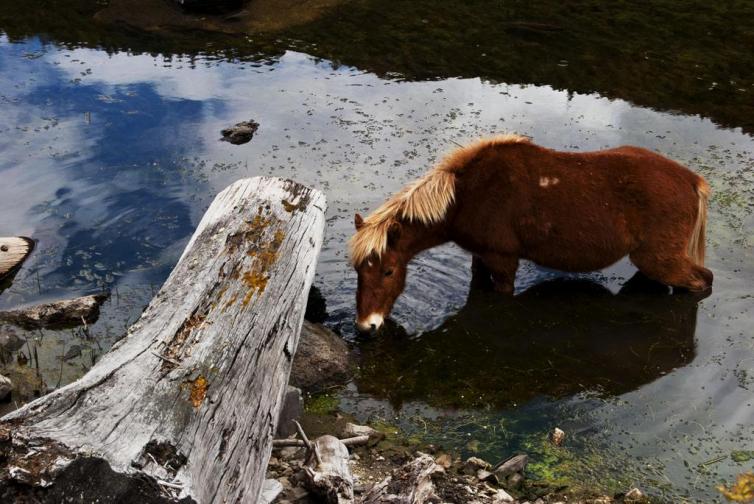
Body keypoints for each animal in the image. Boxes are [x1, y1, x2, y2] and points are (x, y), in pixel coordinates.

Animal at [348, 135, 712, 330]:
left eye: (388, 271)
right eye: (357, 271)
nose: (366, 326)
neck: (466, 194)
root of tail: (691, 181)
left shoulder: (503, 261)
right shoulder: (480, 258)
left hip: (660, 259)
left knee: (701, 281)